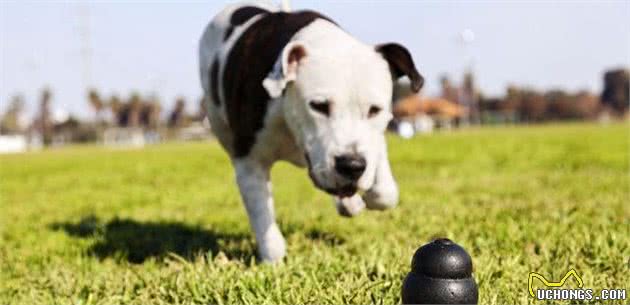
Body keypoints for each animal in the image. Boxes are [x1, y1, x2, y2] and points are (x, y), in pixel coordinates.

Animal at [200, 0, 422, 262]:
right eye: (319, 106)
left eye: (375, 110)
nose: (352, 165)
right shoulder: (249, 162)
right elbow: (262, 217)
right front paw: (273, 258)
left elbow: (385, 192)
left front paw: (366, 194)